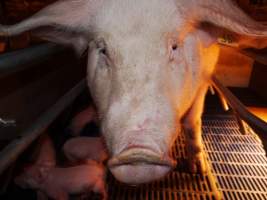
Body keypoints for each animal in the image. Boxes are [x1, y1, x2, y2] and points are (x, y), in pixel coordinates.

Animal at [1, 0, 266, 184]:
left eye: (174, 46)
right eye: (103, 50)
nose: (137, 152)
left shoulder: (204, 77)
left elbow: (192, 123)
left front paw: (197, 171)